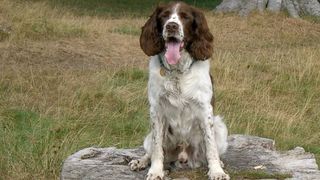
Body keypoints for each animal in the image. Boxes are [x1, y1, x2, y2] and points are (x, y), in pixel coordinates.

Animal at [129, 1, 229, 180]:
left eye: (185, 17)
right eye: (164, 15)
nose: (172, 26)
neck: (177, 71)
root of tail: (183, 156)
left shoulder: (205, 108)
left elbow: (211, 146)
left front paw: (217, 171)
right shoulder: (156, 109)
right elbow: (157, 148)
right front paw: (155, 171)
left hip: (220, 127)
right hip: (150, 136)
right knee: (151, 150)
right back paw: (141, 162)